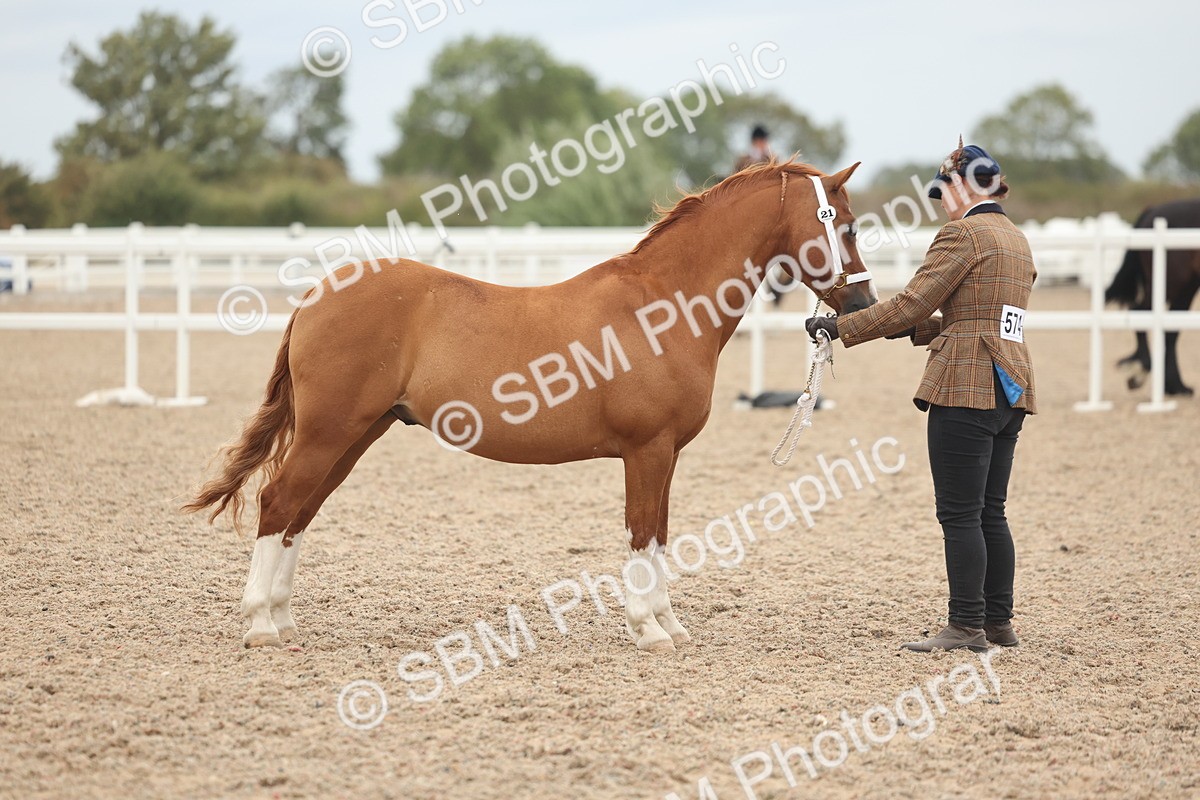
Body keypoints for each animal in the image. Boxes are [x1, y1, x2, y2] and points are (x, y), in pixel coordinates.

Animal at [183, 159, 877, 653]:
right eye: (845, 226)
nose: (863, 304)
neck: (664, 304)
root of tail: (318, 295)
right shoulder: (646, 451)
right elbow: (640, 532)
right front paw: (648, 629)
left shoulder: (666, 456)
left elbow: (659, 533)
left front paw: (668, 623)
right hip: (330, 432)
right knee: (279, 503)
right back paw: (260, 626)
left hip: (354, 437)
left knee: (299, 514)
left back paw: (283, 619)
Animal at [1105, 198, 1200, 396]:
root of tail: (1153, 209)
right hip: (1172, 282)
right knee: (1141, 313)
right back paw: (1143, 371)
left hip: (1187, 286)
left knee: (1170, 330)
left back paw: (1176, 386)